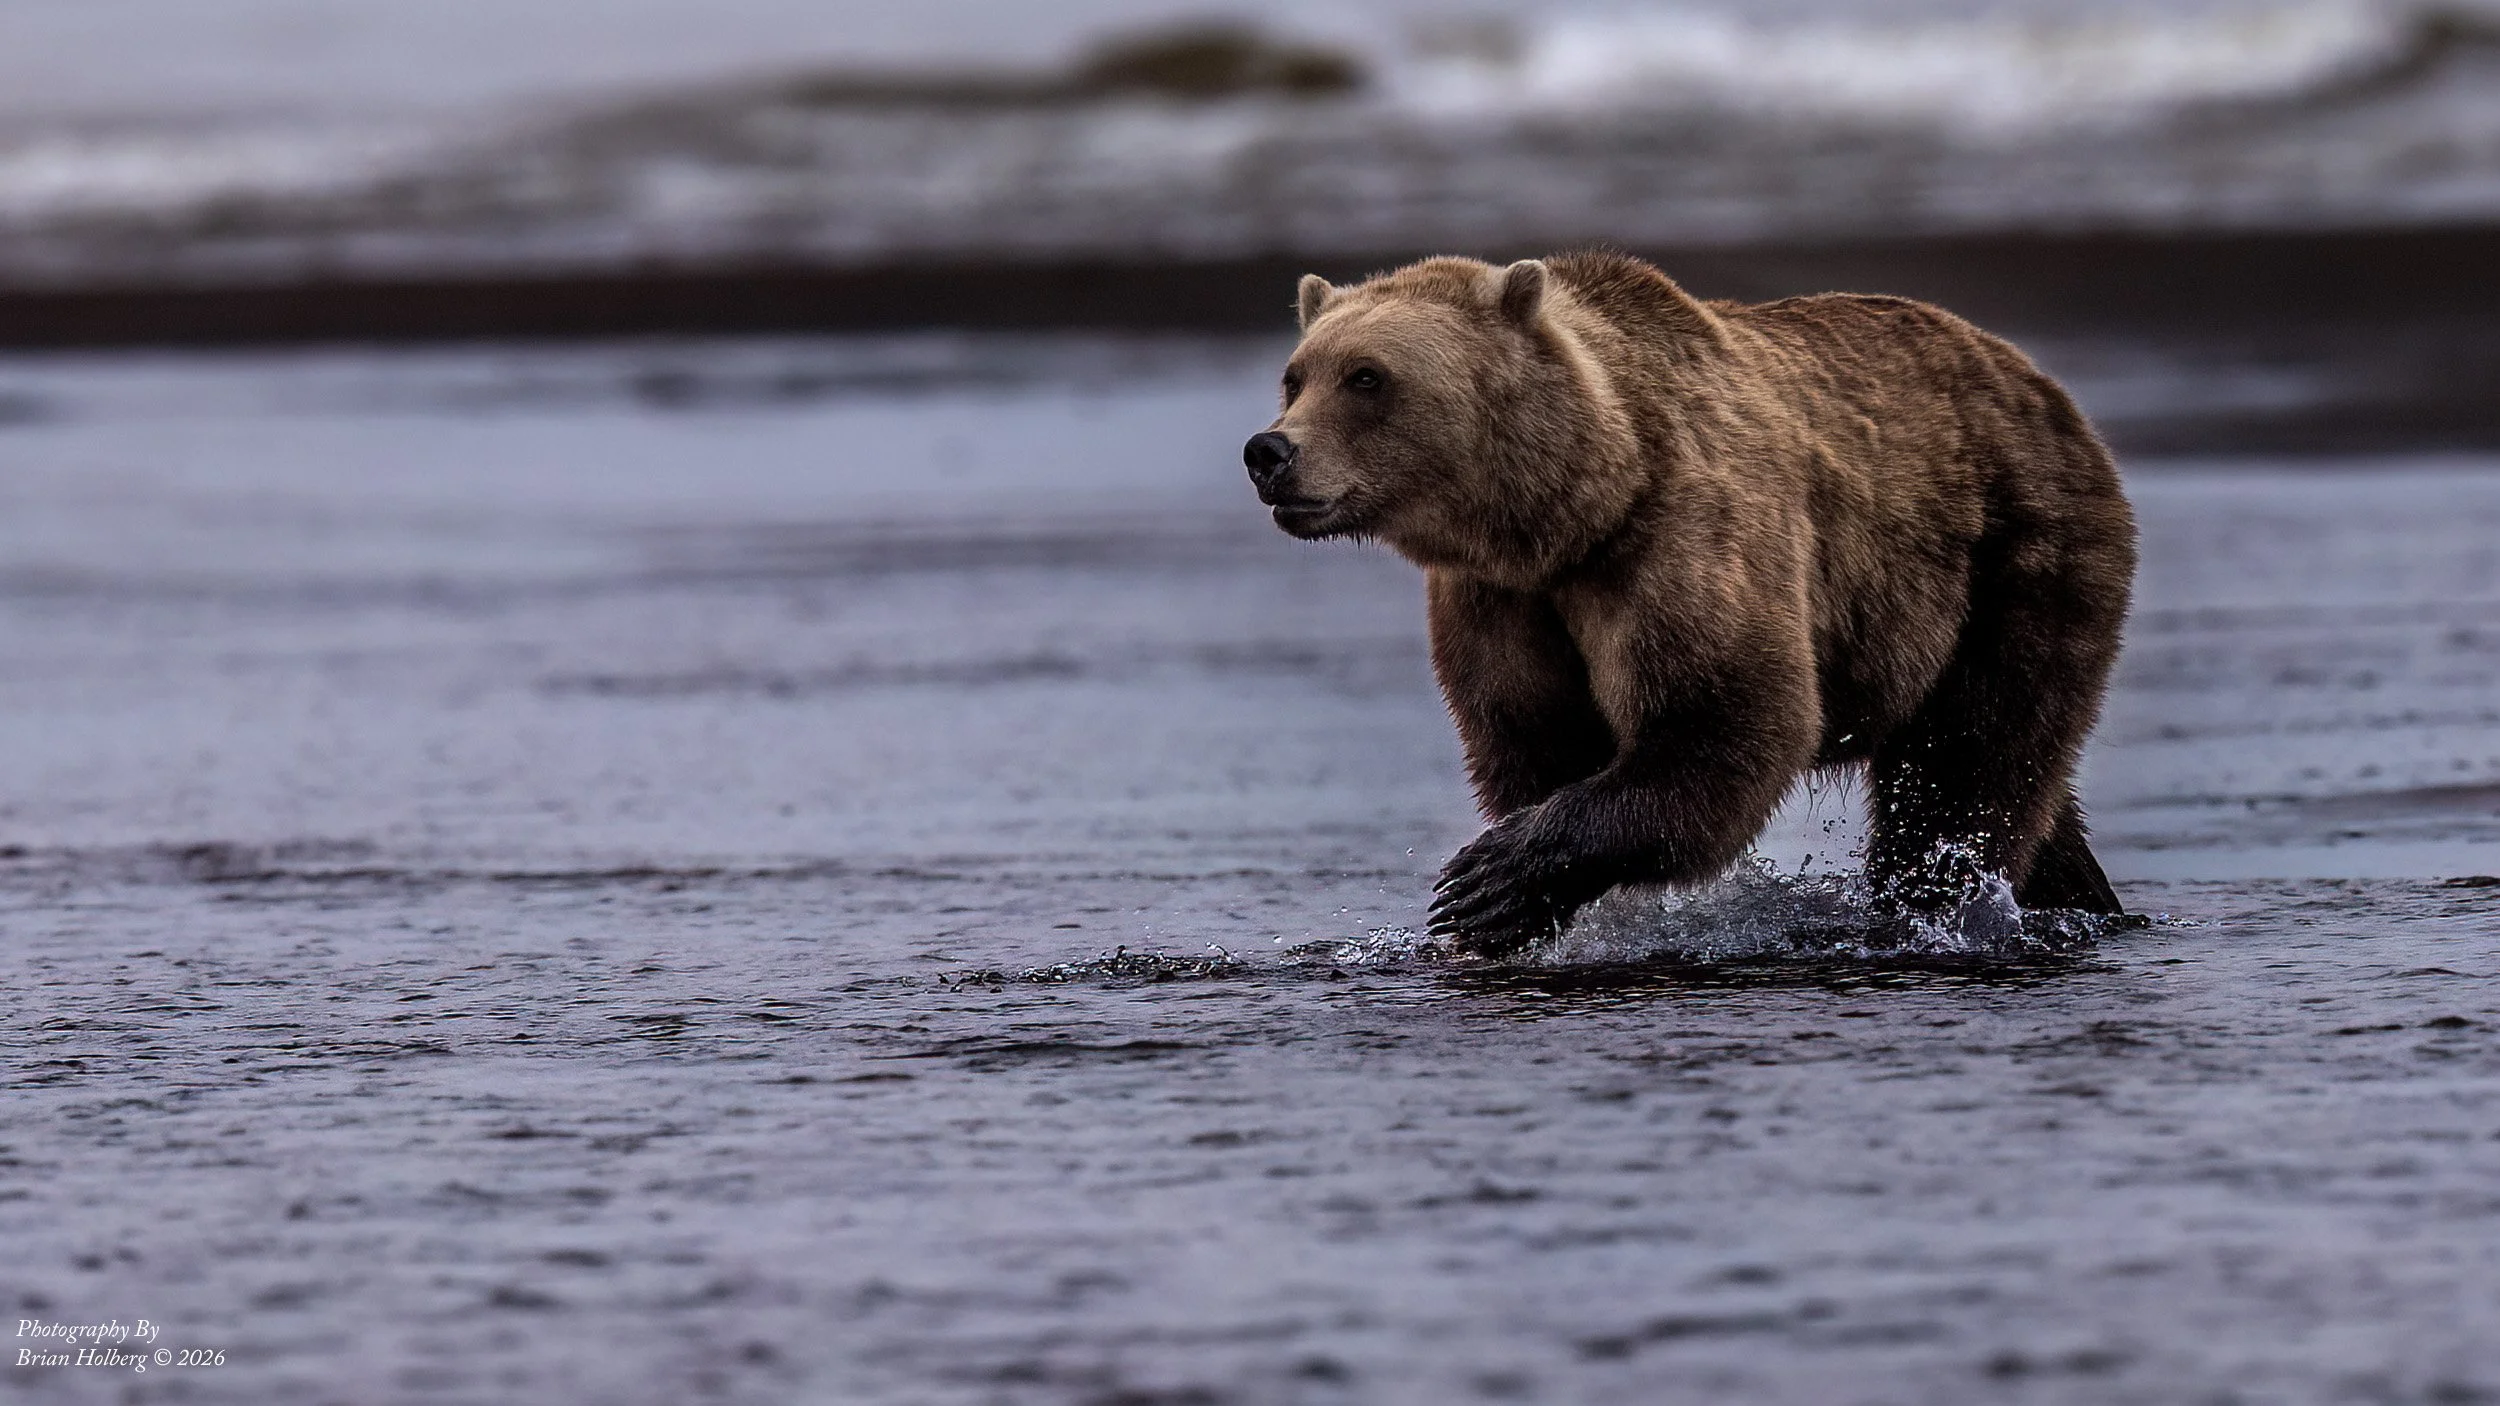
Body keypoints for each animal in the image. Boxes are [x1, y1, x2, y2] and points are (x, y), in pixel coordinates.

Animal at [1241, 251, 2138, 955]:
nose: (1270, 451)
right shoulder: (1502, 601)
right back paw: (2081, 901)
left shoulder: (1683, 538)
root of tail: (2034, 376)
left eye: (1367, 377)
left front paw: (1486, 883)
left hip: (2014, 552)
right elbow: (1531, 737)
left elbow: (1728, 718)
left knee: (1968, 766)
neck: (1577, 509)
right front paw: (1505, 903)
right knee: (2026, 790)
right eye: (1295, 376)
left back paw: (1929, 909)